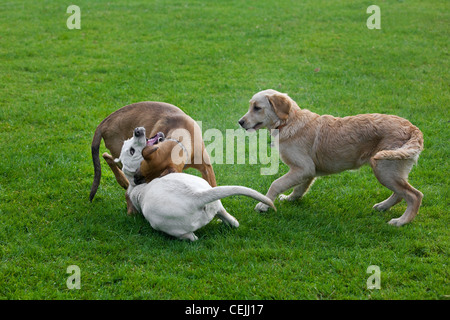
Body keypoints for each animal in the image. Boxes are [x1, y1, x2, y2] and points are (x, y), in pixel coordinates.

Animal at [114, 126, 276, 241]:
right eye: (131, 150)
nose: (137, 131)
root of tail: (196, 197)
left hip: (167, 224)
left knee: (191, 237)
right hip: (216, 204)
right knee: (232, 221)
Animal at [239, 89, 426, 226]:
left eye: (257, 107)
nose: (240, 122)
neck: (288, 122)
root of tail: (412, 128)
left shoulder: (303, 168)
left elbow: (276, 184)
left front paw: (264, 205)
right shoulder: (308, 171)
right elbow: (299, 189)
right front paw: (290, 199)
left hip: (383, 167)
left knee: (414, 195)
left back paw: (401, 221)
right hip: (391, 170)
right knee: (401, 193)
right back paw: (383, 206)